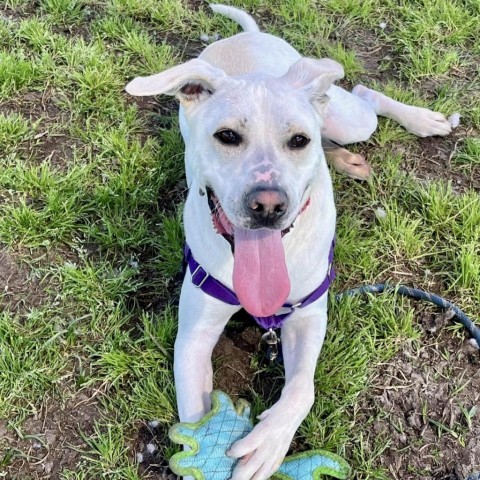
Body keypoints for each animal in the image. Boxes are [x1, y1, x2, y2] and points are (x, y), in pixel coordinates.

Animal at [127, 4, 458, 480]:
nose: (268, 205)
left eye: (298, 140)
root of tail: (247, 36)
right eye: (227, 136)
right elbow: (194, 420)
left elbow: (303, 389)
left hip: (346, 115)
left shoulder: (308, 314)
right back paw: (346, 159)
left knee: (365, 95)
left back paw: (422, 120)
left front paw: (268, 443)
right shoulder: (193, 336)